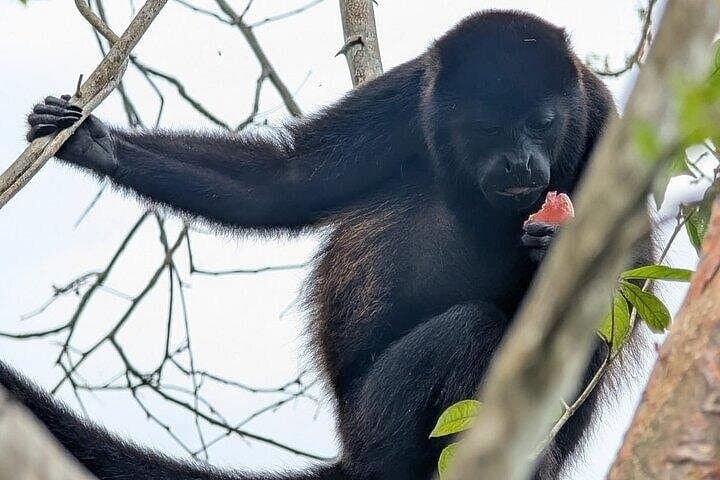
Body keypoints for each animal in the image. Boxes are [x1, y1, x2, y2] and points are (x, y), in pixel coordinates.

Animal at [2, 10, 650, 480]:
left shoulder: (601, 122)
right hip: (377, 424)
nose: (520, 161)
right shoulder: (407, 93)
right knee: (467, 330)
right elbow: (285, 184)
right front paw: (96, 143)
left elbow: (625, 291)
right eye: (489, 127)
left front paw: (556, 241)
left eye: (542, 123)